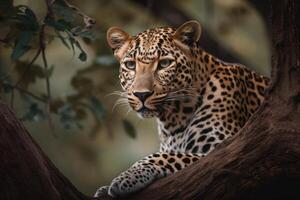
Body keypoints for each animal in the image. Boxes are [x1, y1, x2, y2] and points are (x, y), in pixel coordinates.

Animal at [94, 20, 270, 198]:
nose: (141, 94)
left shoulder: (221, 149)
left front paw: (128, 176)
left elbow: (164, 156)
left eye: (164, 64)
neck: (173, 118)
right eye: (130, 65)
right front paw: (105, 189)